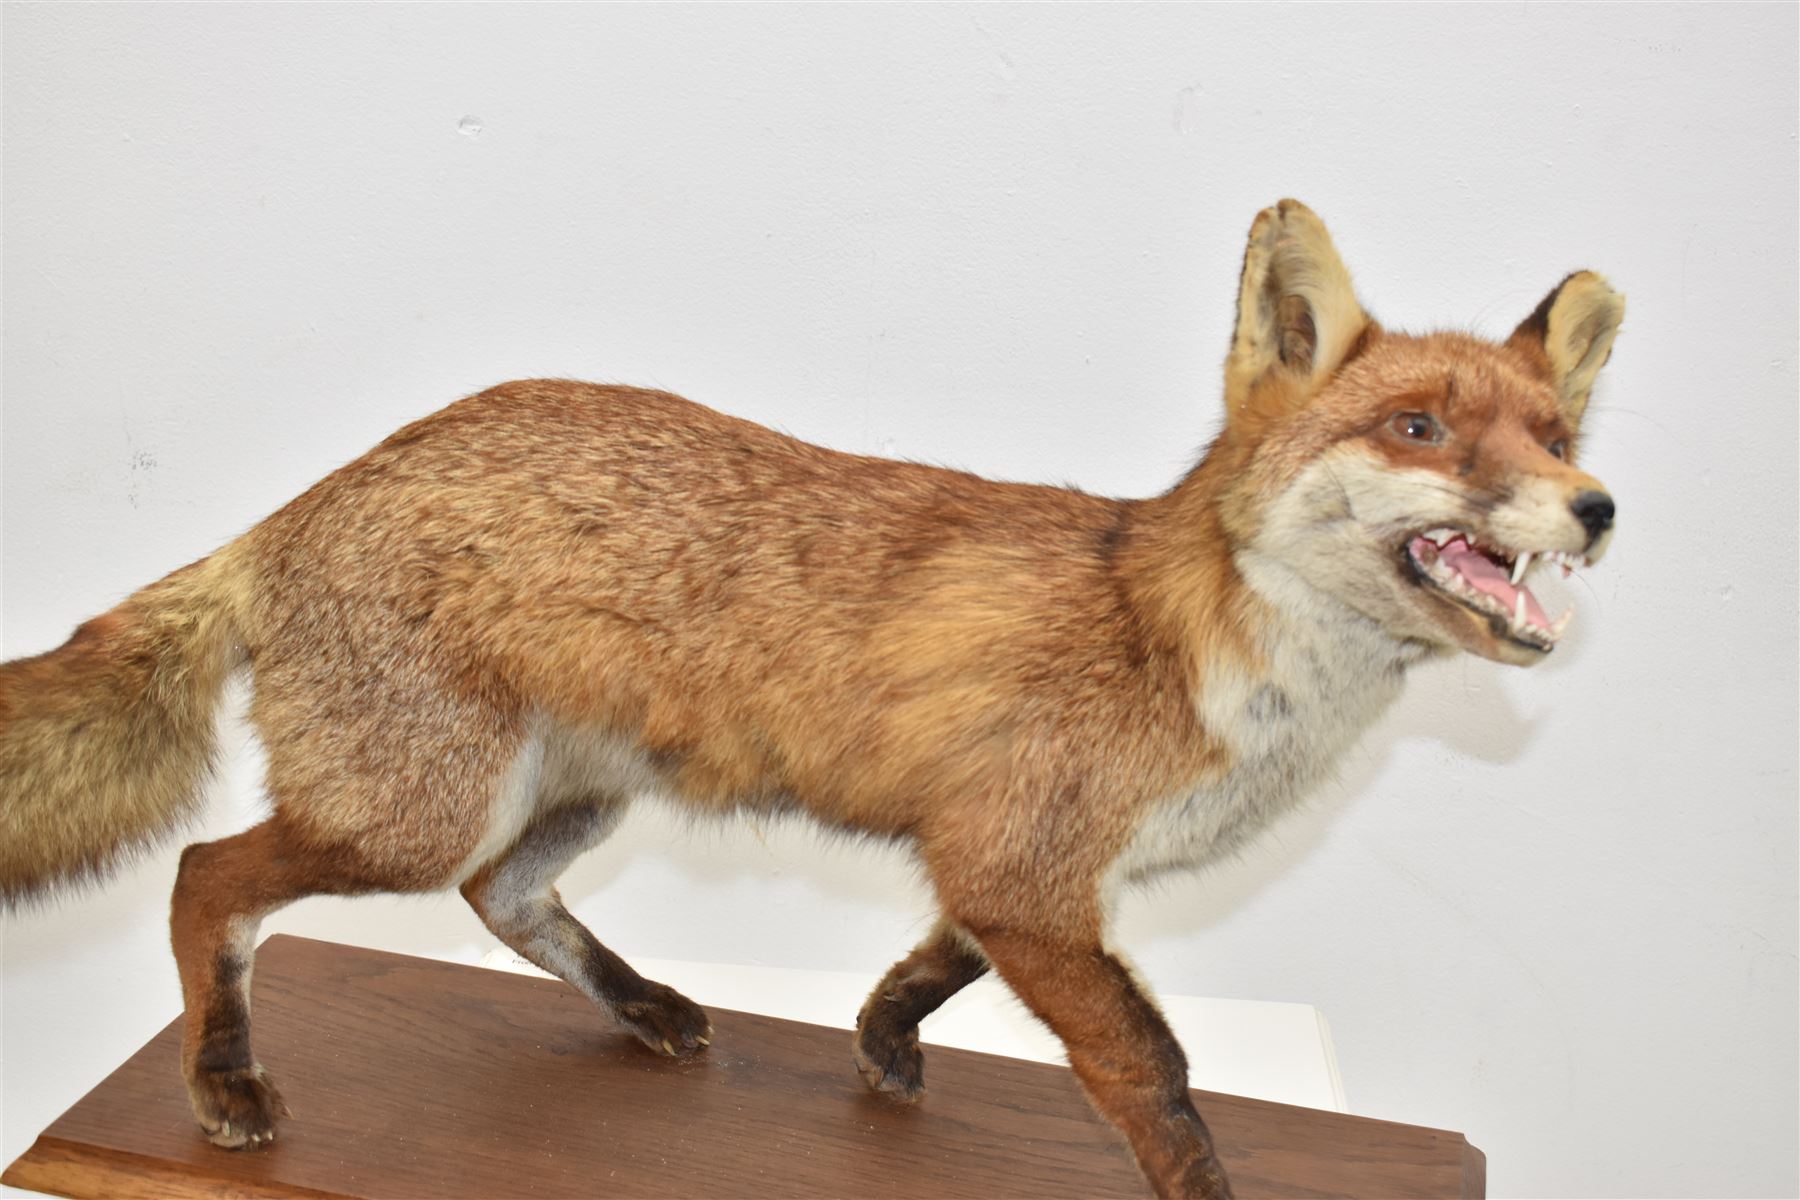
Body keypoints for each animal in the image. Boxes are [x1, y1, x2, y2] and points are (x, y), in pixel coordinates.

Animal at [0, 200, 1621, 1199]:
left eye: (1553, 435)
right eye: (1420, 430)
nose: (1596, 508)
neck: (1187, 651)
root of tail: (312, 495)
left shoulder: (1003, 868)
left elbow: (932, 967)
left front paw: (881, 1047)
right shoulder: (1030, 870)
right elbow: (1156, 1076)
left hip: (571, 794)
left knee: (500, 900)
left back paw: (647, 1010)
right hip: (406, 814)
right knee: (208, 879)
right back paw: (224, 1087)